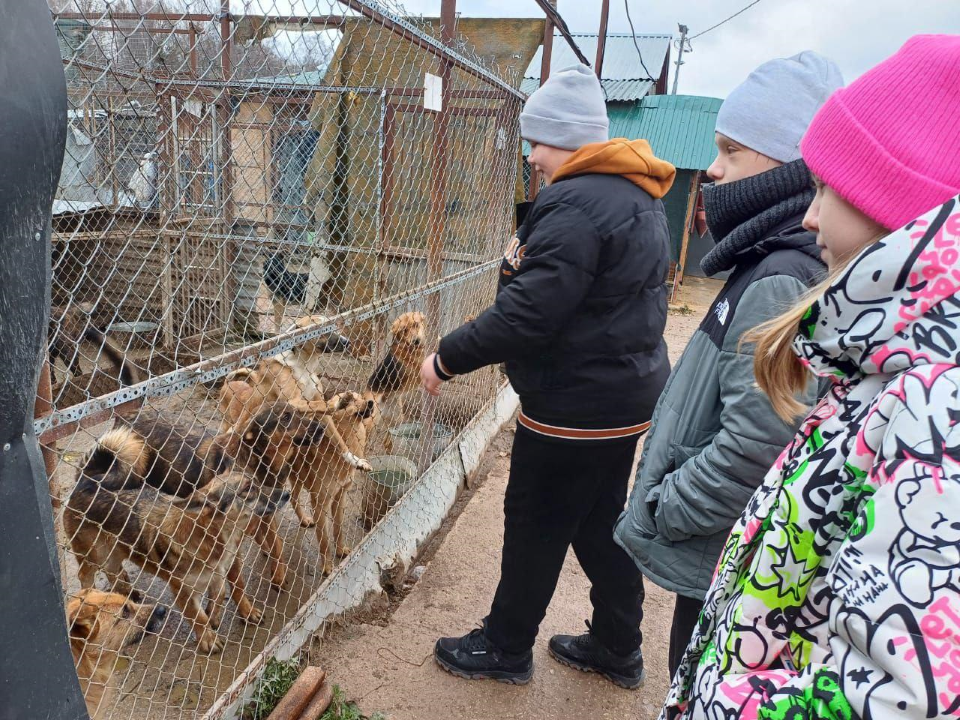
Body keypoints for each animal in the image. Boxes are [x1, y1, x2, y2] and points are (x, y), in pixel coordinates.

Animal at [64, 404, 326, 652]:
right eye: (286, 417)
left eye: (299, 412)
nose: (322, 427)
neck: (255, 458)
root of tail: (88, 480)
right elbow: (228, 590)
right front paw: (233, 619)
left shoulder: (255, 526)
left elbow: (273, 547)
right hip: (92, 550)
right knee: (86, 575)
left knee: (115, 567)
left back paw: (126, 592)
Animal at [284, 390, 376, 576]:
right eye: (349, 401)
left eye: (360, 396)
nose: (371, 403)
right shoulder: (319, 503)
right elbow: (324, 540)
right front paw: (327, 566)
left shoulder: (340, 496)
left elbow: (338, 528)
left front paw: (340, 551)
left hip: (297, 478)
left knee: (294, 498)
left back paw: (304, 520)